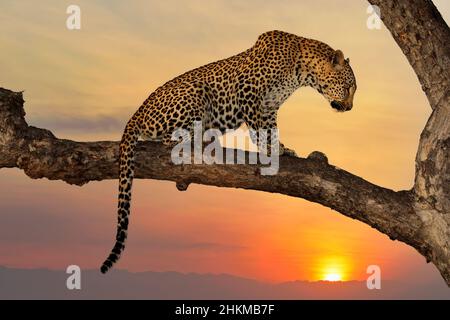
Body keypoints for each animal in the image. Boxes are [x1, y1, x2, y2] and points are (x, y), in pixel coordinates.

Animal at [100, 30, 356, 274]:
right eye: (348, 87)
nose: (350, 108)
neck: (302, 70)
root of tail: (136, 114)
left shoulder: (269, 106)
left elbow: (270, 129)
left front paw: (282, 149)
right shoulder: (249, 92)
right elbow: (259, 129)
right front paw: (271, 149)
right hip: (195, 93)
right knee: (167, 139)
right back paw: (197, 139)